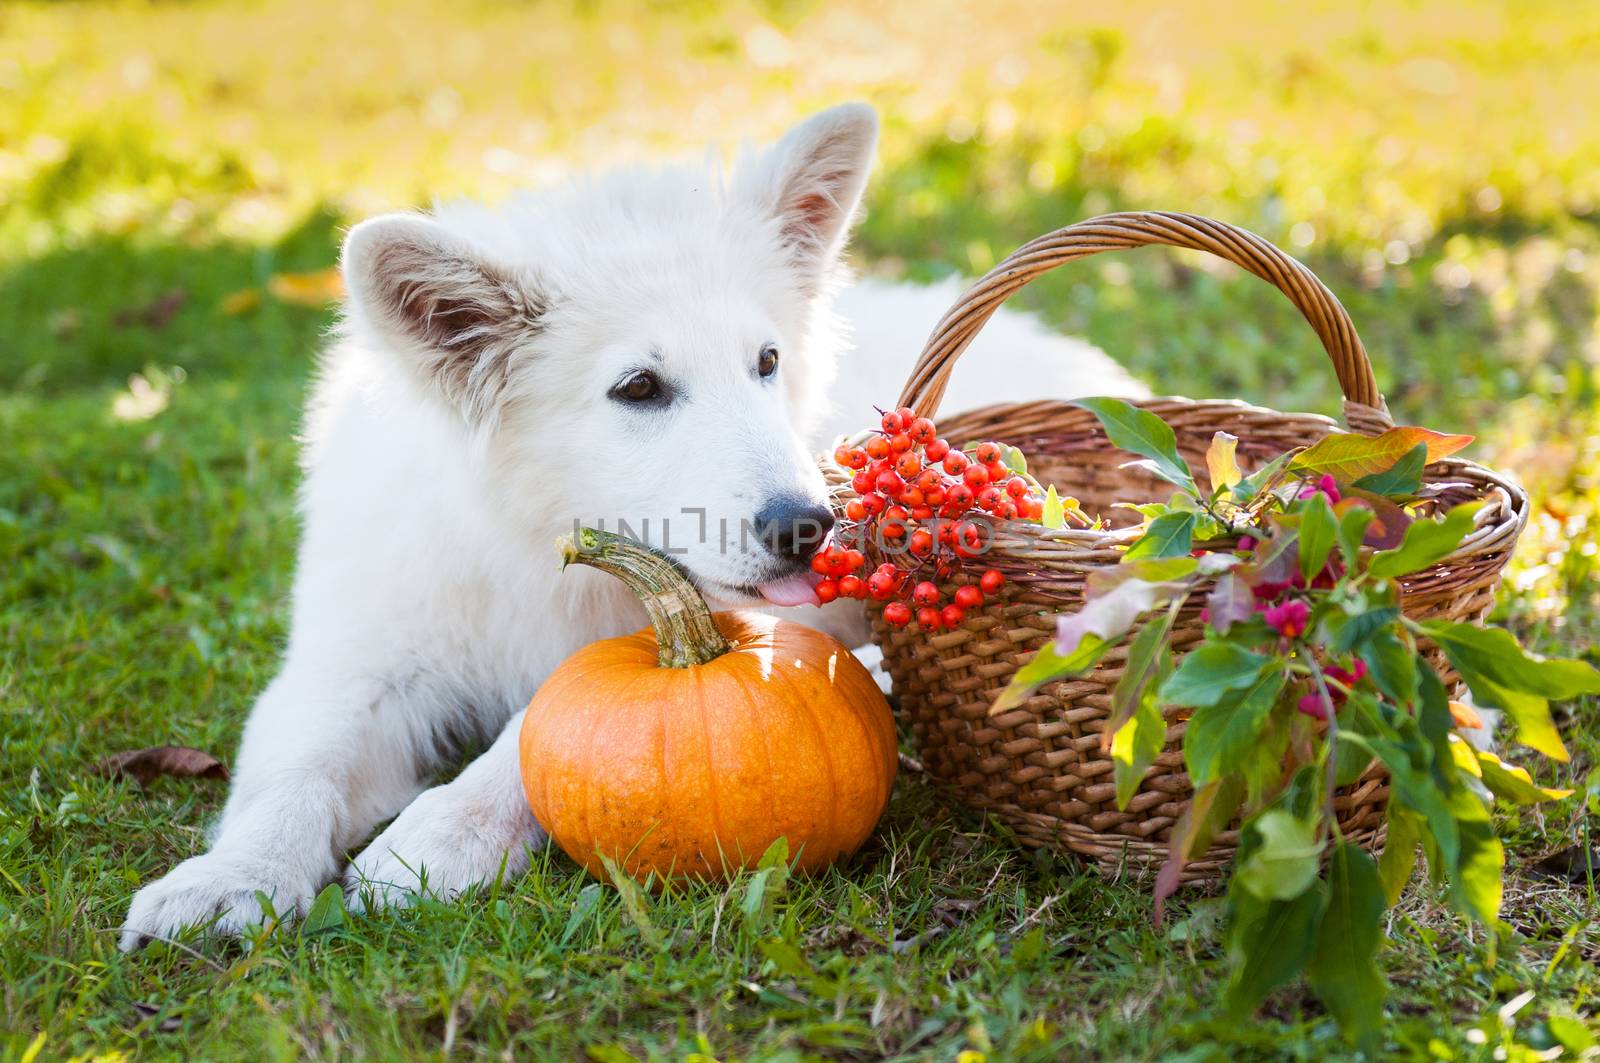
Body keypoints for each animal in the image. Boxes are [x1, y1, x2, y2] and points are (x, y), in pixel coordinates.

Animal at [121, 104, 1152, 947]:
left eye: (767, 361)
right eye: (640, 388)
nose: (810, 528)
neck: (536, 538)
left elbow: (534, 727)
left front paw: (440, 834)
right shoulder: (356, 660)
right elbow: (293, 767)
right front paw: (230, 879)